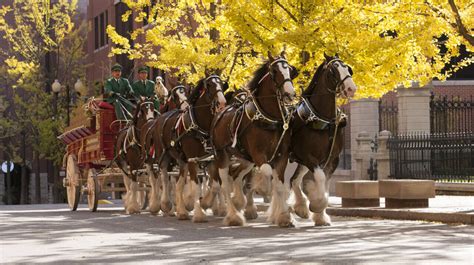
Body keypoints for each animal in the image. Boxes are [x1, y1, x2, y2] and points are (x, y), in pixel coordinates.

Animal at [152, 74, 226, 221]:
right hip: (163, 156)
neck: (200, 126)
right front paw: (199, 214)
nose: (222, 102)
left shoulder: (211, 159)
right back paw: (165, 204)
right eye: (209, 85)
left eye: (221, 83)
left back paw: (182, 211)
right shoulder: (193, 159)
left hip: (182, 161)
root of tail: (161, 117)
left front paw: (205, 203)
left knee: (179, 185)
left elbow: (214, 185)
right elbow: (195, 187)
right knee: (164, 178)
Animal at [210, 52, 296, 227]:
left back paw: (239, 202)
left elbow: (279, 185)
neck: (268, 117)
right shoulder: (258, 154)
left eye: (290, 70)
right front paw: (263, 189)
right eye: (274, 71)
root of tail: (220, 113)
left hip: (245, 158)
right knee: (225, 183)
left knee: (235, 175)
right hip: (222, 156)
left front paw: (284, 217)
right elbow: (267, 172)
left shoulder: (282, 155)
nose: (290, 94)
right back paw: (233, 215)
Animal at [288, 54, 356, 225]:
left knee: (293, 180)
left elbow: (326, 182)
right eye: (333, 70)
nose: (351, 88)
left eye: (347, 68)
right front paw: (317, 204)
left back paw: (300, 207)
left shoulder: (333, 158)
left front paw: (321, 216)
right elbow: (320, 177)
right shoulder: (308, 157)